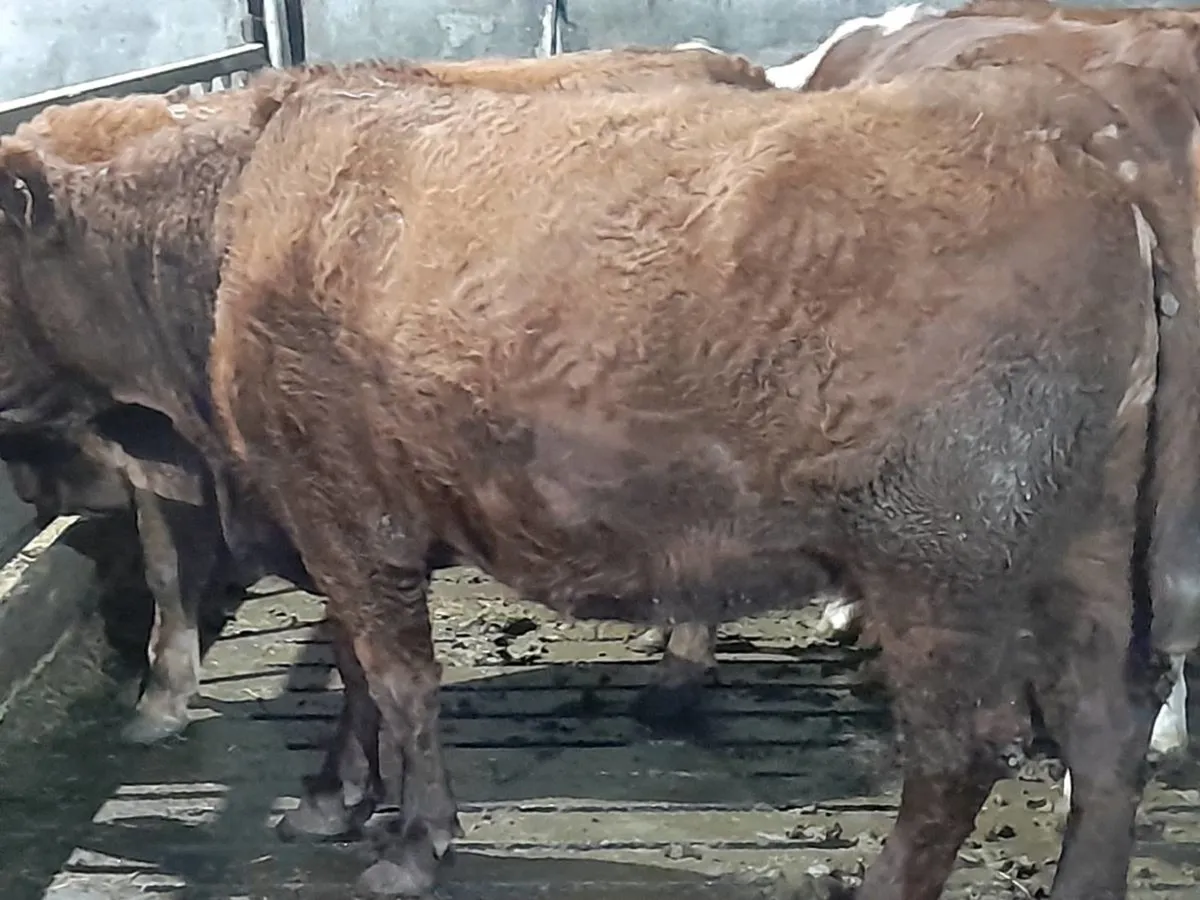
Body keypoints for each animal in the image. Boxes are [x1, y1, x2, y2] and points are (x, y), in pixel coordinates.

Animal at [194, 56, 1200, 896]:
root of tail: (1084, 156)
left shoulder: (344, 508)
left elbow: (396, 677)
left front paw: (405, 845)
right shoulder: (333, 517)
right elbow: (357, 665)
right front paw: (337, 801)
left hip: (937, 557)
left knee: (967, 747)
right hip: (1085, 544)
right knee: (1105, 726)